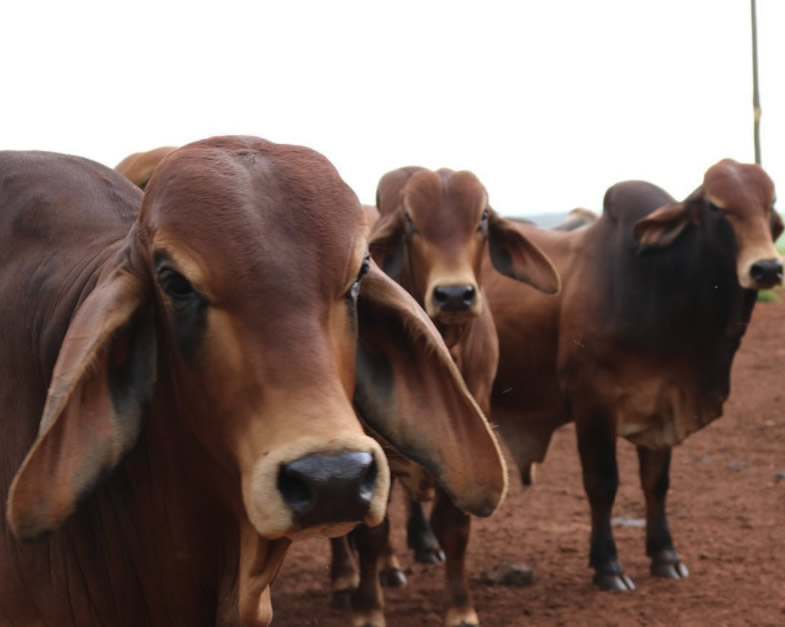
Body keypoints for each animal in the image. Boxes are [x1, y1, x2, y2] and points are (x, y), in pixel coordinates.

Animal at [334, 167, 560, 627]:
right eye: (411, 221)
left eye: (482, 219)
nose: (455, 295)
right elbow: (369, 532)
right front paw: (367, 607)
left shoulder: (468, 435)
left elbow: (453, 527)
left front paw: (459, 607)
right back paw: (346, 578)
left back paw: (391, 568)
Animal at [486, 159, 780, 592]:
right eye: (715, 206)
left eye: (770, 202)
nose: (767, 267)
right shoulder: (593, 400)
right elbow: (602, 482)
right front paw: (608, 566)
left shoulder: (664, 401)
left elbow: (656, 484)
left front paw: (665, 556)